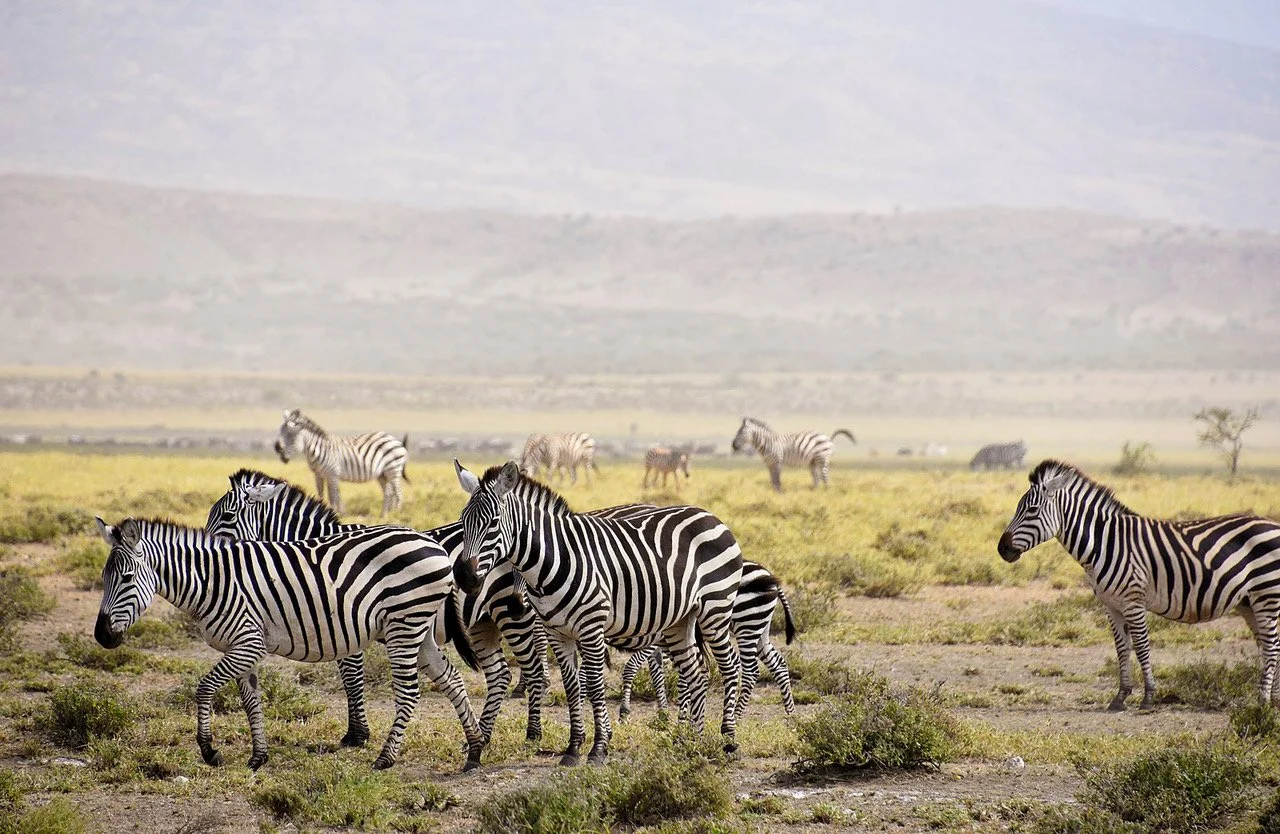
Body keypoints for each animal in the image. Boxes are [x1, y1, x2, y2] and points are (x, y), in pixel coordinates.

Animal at [93, 516, 484, 771]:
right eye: (103, 577)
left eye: (126, 578)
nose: (101, 636)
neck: (211, 581)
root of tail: (435, 545)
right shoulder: (242, 647)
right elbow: (251, 702)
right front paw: (257, 757)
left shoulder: (249, 642)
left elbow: (204, 688)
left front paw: (209, 750)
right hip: (417, 627)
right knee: (451, 679)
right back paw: (475, 750)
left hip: (405, 623)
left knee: (409, 692)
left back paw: (386, 758)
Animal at [274, 409, 409, 516]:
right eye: (281, 431)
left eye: (291, 435)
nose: (277, 448)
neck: (316, 451)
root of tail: (396, 440)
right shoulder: (318, 475)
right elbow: (321, 494)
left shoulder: (332, 474)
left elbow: (333, 496)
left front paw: (336, 513)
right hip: (382, 474)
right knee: (388, 493)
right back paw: (385, 515)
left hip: (393, 469)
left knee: (398, 493)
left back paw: (397, 513)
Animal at [454, 459, 744, 765]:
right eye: (463, 521)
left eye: (493, 522)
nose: (464, 577)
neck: (556, 560)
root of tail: (710, 516)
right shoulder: (557, 632)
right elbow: (572, 687)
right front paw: (573, 748)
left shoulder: (591, 627)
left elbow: (593, 684)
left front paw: (599, 747)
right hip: (681, 620)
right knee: (696, 674)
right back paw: (689, 740)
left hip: (715, 609)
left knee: (730, 666)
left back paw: (728, 739)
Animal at [619, 560, 798, 719]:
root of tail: (767, 573)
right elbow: (658, 670)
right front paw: (664, 713)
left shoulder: (658, 637)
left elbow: (632, 666)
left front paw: (625, 712)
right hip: (759, 627)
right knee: (777, 663)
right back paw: (791, 714)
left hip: (746, 624)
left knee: (751, 671)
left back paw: (737, 716)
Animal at [998, 459, 1280, 710]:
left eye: (1031, 510)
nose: (1002, 549)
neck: (1105, 542)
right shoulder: (1111, 606)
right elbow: (1122, 649)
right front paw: (1120, 697)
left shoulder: (1133, 601)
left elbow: (1142, 647)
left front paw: (1148, 697)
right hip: (1249, 602)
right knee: (1270, 645)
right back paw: (1275, 701)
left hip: (1266, 594)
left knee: (1271, 645)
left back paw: (1262, 702)